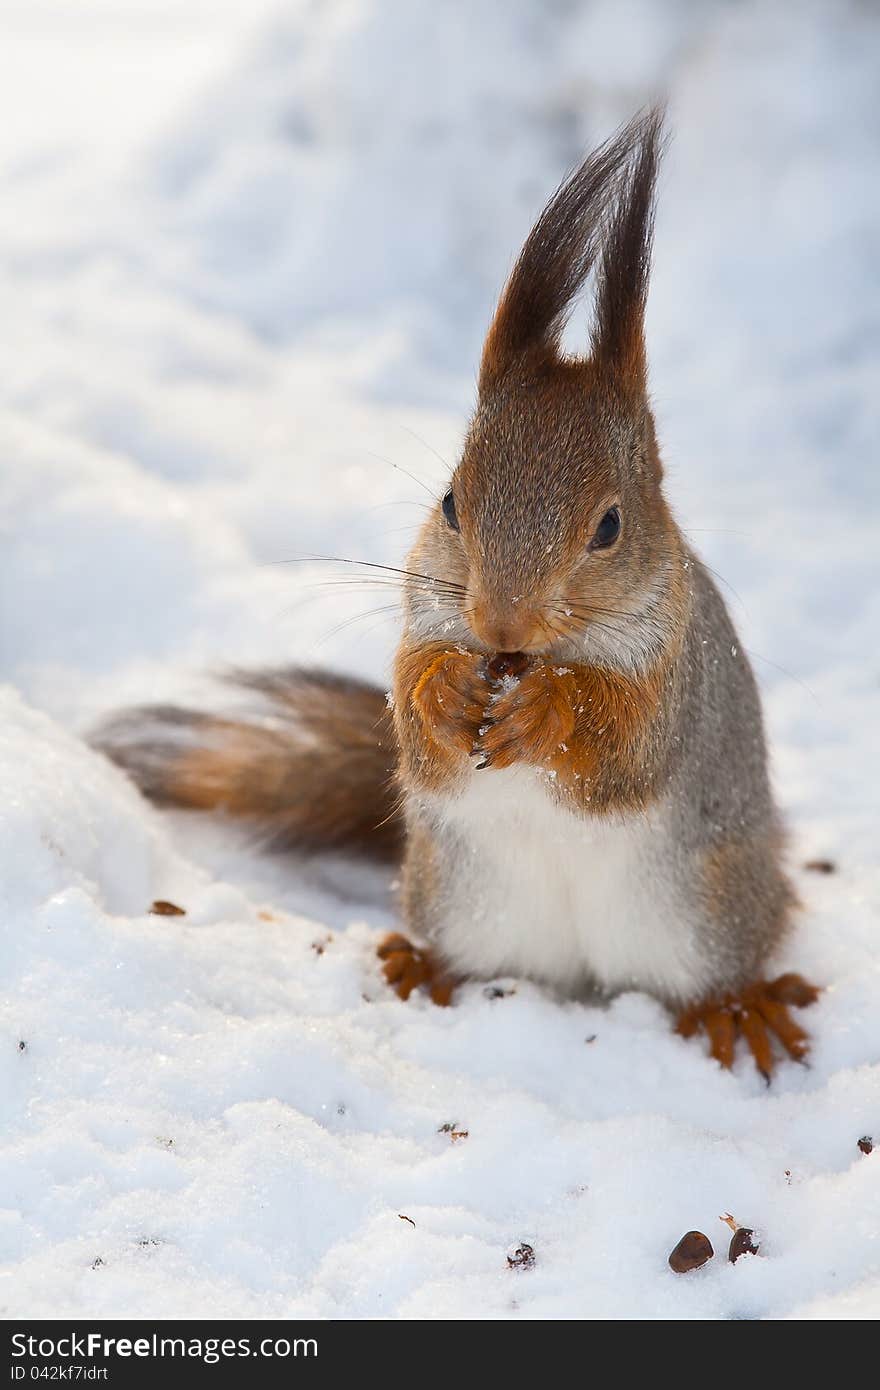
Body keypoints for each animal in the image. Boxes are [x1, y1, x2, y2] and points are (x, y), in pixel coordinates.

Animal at [99, 113, 823, 1078]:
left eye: (610, 526)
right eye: (449, 502)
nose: (499, 621)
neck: (527, 657)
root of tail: (582, 972)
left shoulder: (677, 675)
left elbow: (623, 750)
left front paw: (551, 711)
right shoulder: (424, 619)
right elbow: (417, 737)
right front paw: (443, 692)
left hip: (711, 908)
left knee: (718, 965)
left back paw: (738, 1009)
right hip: (453, 893)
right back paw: (421, 967)